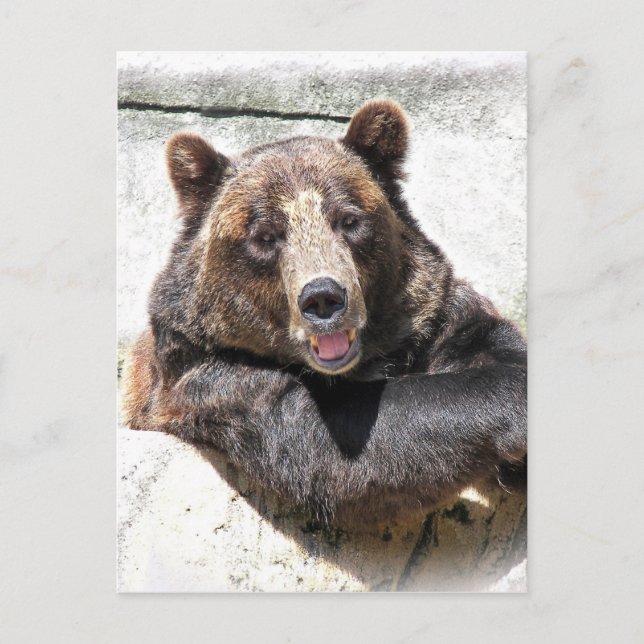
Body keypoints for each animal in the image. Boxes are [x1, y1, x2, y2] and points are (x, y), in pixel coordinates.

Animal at [122, 99, 527, 526]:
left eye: (349, 219)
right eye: (265, 235)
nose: (322, 298)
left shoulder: (434, 320)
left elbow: (485, 342)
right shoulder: (211, 377)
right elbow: (330, 445)